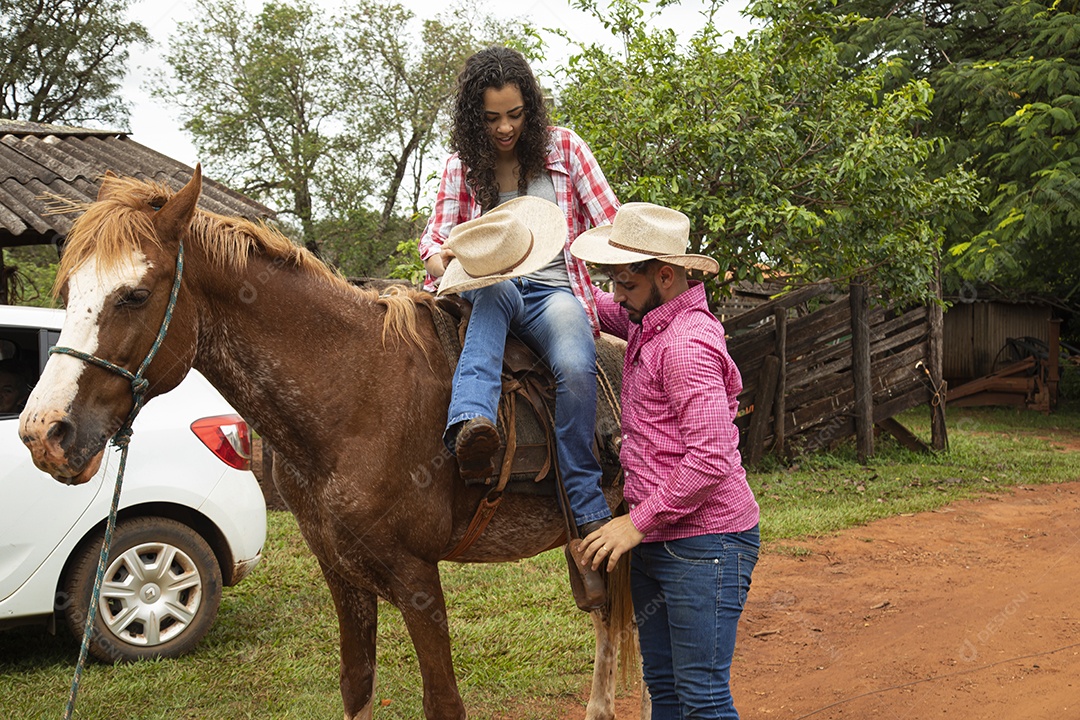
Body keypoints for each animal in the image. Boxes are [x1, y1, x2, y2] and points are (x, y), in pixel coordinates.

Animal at [19, 167, 639, 720]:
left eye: (135, 295)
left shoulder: (416, 577)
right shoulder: (341, 573)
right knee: (610, 618)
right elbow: (356, 683)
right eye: (68, 290)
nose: (43, 432)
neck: (357, 396)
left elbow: (443, 702)